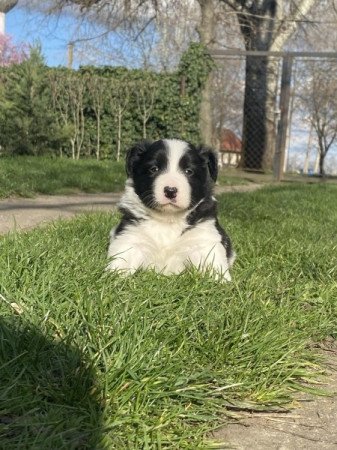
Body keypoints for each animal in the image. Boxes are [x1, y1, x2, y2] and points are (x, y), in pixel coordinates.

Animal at [106, 138, 235, 282]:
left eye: (189, 171)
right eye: (154, 169)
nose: (170, 191)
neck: (168, 218)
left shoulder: (203, 240)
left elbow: (214, 266)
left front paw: (221, 283)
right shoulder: (131, 237)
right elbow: (121, 261)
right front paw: (111, 278)